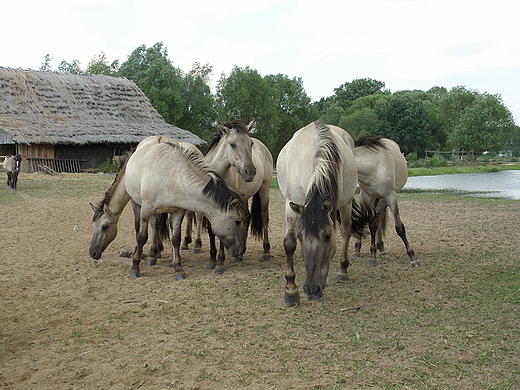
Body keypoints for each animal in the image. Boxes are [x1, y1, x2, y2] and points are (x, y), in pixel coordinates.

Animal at [90, 136, 251, 278]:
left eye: (104, 227)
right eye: (237, 221)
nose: (92, 253)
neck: (172, 176)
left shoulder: (177, 211)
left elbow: (175, 238)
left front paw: (178, 267)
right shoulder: (145, 210)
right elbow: (142, 236)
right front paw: (135, 266)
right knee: (148, 226)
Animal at [203, 120, 274, 272]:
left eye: (250, 143)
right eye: (232, 144)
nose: (250, 171)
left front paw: (220, 262)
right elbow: (211, 230)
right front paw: (212, 260)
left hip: (264, 191)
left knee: (264, 217)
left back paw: (266, 252)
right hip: (244, 197)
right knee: (246, 217)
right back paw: (240, 254)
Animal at [276, 121, 366, 304]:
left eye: (327, 236)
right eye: (300, 236)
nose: (312, 289)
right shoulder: (291, 203)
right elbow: (289, 243)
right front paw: (291, 290)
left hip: (346, 202)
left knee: (346, 231)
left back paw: (342, 270)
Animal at [352, 136, 420, 266]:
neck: (373, 166)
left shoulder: (391, 196)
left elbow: (399, 227)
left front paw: (413, 257)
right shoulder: (367, 196)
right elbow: (370, 223)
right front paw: (372, 255)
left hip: (383, 199)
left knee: (379, 216)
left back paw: (382, 249)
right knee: (375, 218)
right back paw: (359, 249)